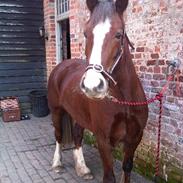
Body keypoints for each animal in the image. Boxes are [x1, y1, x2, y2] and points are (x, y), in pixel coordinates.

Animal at [48, 0, 148, 183]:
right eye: (86, 34)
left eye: (118, 34)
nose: (92, 86)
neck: (124, 101)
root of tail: (61, 67)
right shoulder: (102, 138)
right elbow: (109, 176)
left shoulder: (135, 138)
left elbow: (127, 167)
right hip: (56, 111)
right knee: (58, 135)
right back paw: (57, 164)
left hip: (78, 114)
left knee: (77, 136)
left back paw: (82, 168)